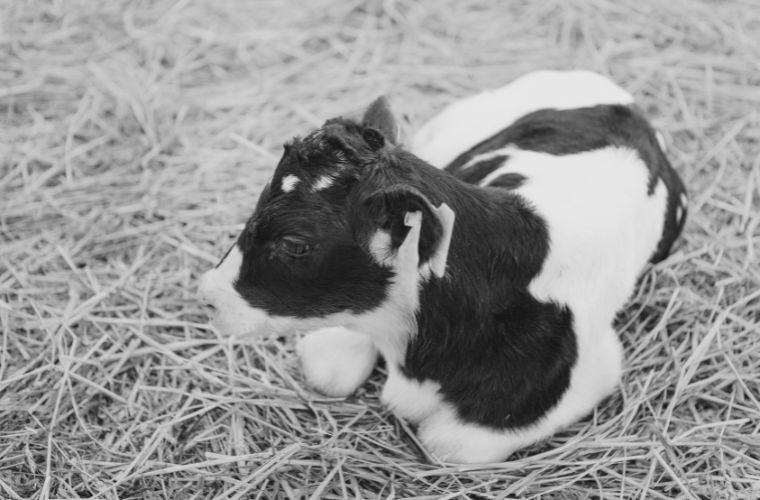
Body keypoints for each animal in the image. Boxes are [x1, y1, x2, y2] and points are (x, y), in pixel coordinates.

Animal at [198, 70, 688, 463]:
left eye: (295, 244)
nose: (208, 297)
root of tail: (617, 94)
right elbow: (329, 370)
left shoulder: (593, 370)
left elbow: (447, 444)